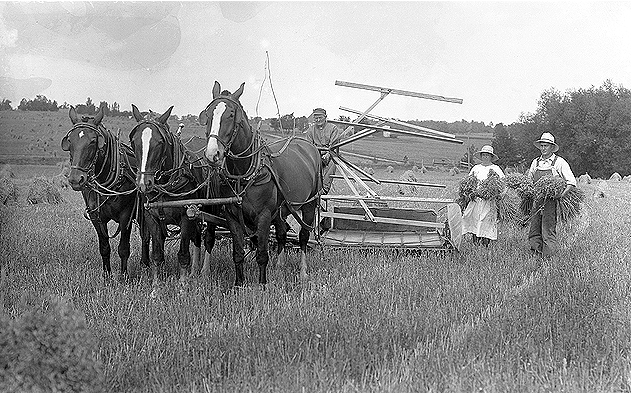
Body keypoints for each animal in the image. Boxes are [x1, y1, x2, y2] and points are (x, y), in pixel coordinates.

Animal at [62, 105, 150, 280]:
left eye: (93, 141)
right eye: (70, 141)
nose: (75, 179)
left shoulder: (126, 216)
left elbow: (123, 248)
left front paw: (124, 276)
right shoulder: (96, 216)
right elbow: (104, 247)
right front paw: (107, 276)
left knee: (146, 236)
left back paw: (146, 264)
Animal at [128, 104, 217, 282]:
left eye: (160, 142)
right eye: (134, 142)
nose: (143, 184)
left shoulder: (186, 215)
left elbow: (183, 253)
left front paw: (182, 284)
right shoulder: (151, 217)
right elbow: (157, 253)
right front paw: (156, 284)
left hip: (211, 209)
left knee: (209, 238)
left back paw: (204, 272)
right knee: (197, 237)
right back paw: (194, 271)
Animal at [200, 81, 324, 286]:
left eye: (231, 114)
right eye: (208, 113)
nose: (212, 155)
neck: (242, 174)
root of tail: (308, 145)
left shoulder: (264, 216)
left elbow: (262, 253)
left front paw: (262, 284)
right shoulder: (232, 216)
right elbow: (238, 253)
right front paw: (239, 284)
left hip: (309, 204)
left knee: (303, 237)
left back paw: (303, 272)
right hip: (283, 209)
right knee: (282, 233)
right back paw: (279, 266)